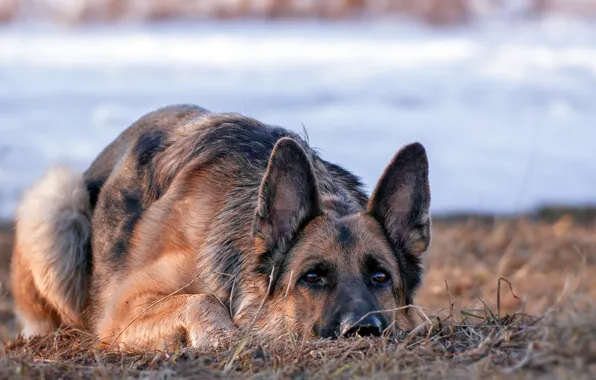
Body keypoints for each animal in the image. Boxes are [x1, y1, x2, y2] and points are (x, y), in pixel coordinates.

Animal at [10, 104, 428, 350]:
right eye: (312, 277)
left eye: (380, 277)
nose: (363, 330)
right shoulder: (122, 310)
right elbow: (202, 299)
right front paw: (222, 337)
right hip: (57, 200)